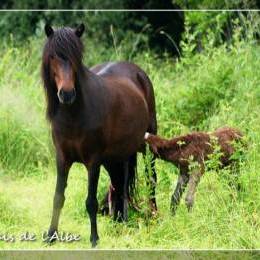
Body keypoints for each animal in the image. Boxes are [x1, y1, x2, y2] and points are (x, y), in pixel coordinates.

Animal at [41, 23, 157, 246]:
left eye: (76, 56)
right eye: (53, 57)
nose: (66, 94)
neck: (74, 115)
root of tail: (139, 74)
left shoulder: (93, 161)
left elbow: (91, 201)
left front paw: (94, 239)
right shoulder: (62, 158)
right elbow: (58, 197)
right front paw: (51, 235)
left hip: (148, 145)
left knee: (151, 179)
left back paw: (154, 216)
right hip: (115, 158)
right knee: (119, 186)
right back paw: (119, 222)